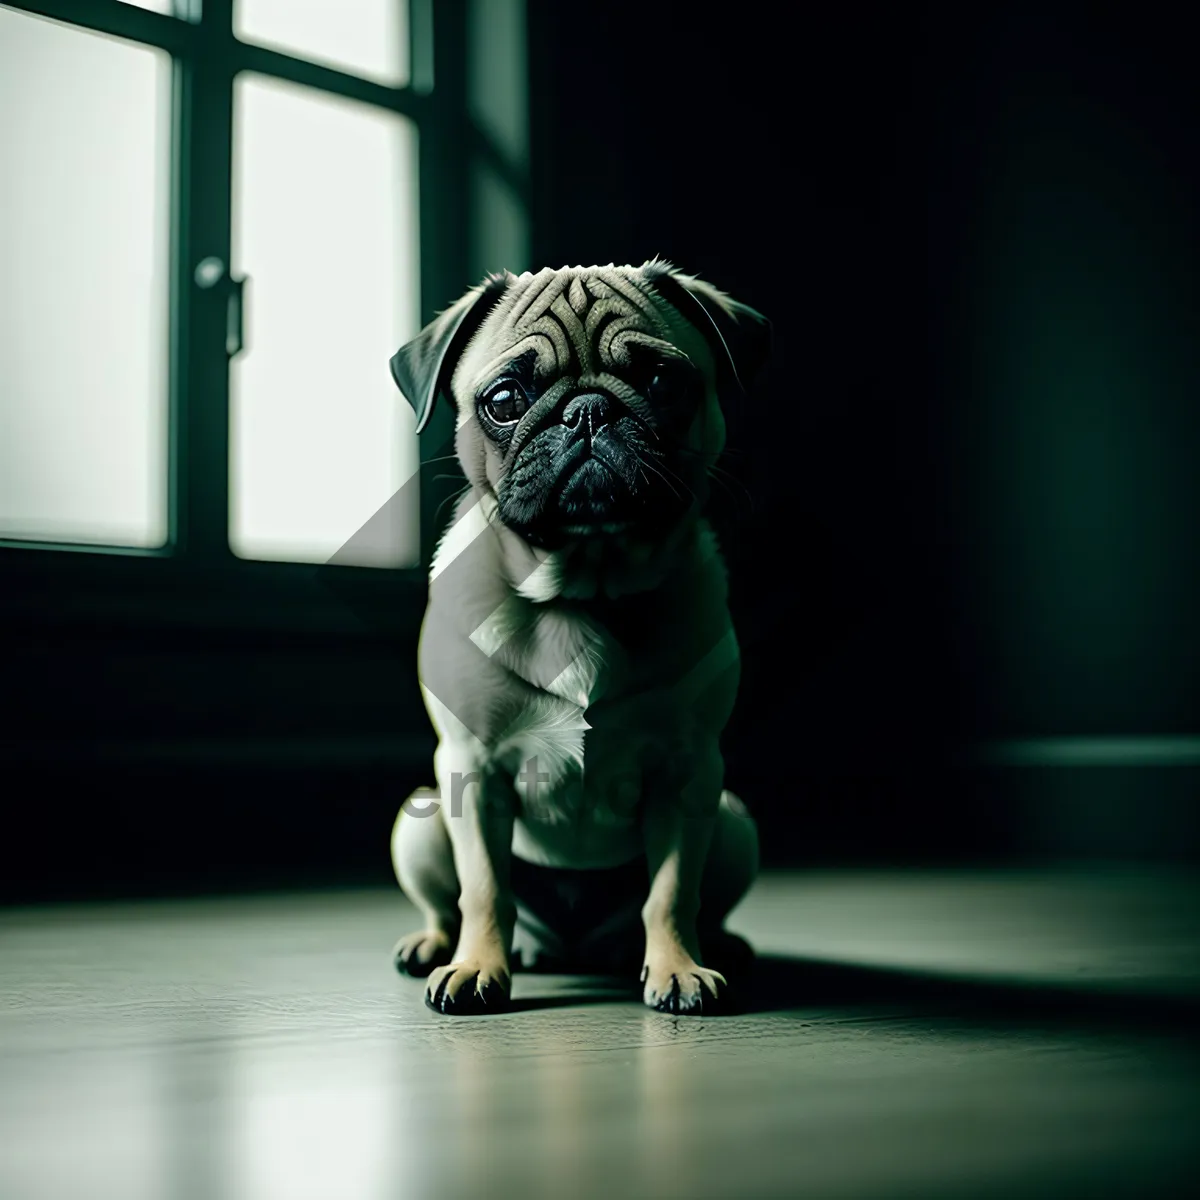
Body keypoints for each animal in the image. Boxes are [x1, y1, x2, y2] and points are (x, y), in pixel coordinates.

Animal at [391, 262, 768, 1012]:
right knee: (448, 903)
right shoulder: (473, 771)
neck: (582, 592)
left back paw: (711, 947)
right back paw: (434, 947)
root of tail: (571, 948)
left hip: (732, 820)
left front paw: (679, 968)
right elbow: (485, 891)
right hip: (420, 817)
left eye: (663, 382)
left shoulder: (688, 774)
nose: (588, 411)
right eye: (505, 399)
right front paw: (476, 968)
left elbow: (672, 892)